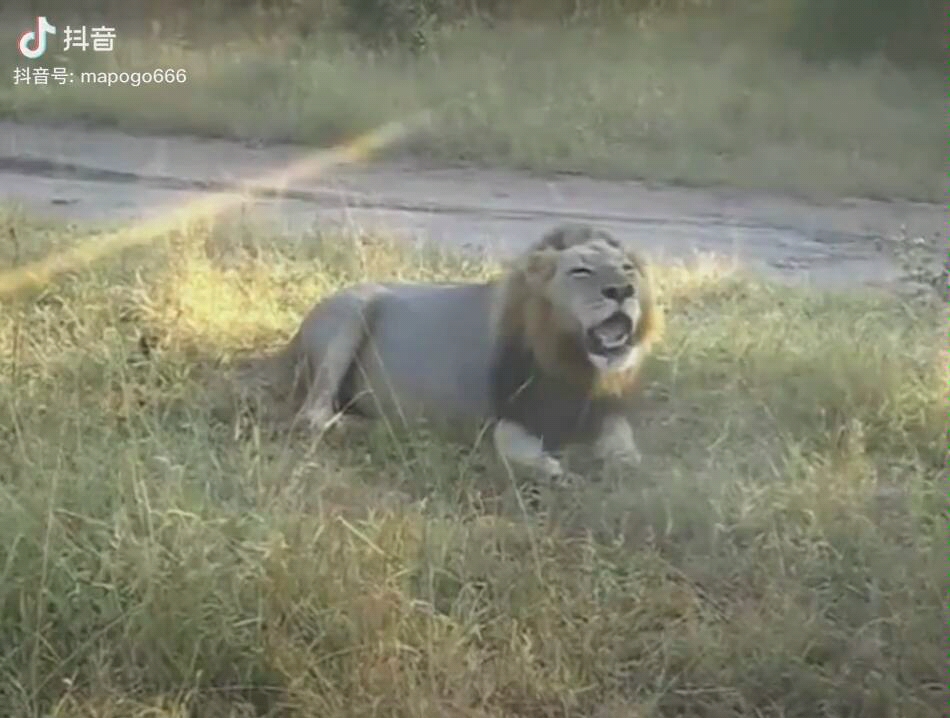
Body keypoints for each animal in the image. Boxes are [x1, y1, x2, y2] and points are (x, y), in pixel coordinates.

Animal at [240, 225, 660, 484]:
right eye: (581, 271)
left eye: (628, 269)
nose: (622, 290)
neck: (573, 362)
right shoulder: (506, 419)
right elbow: (522, 454)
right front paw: (559, 472)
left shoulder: (607, 412)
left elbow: (628, 454)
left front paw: (623, 468)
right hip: (349, 315)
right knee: (312, 416)